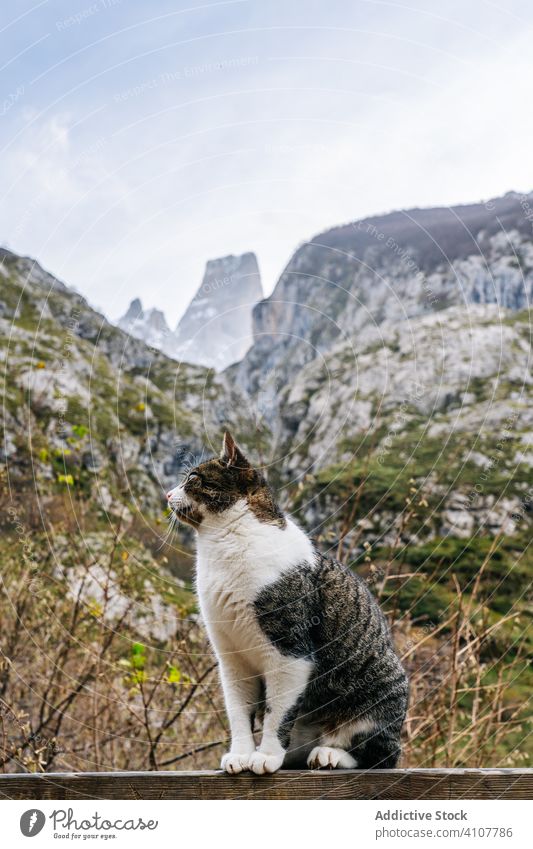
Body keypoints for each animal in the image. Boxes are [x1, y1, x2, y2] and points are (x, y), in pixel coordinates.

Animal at [166, 434, 408, 772]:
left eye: (192, 478)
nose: (167, 494)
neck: (224, 548)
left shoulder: (290, 652)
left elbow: (275, 714)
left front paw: (266, 756)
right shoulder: (231, 657)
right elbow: (239, 711)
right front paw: (241, 754)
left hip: (377, 695)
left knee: (380, 754)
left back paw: (330, 754)